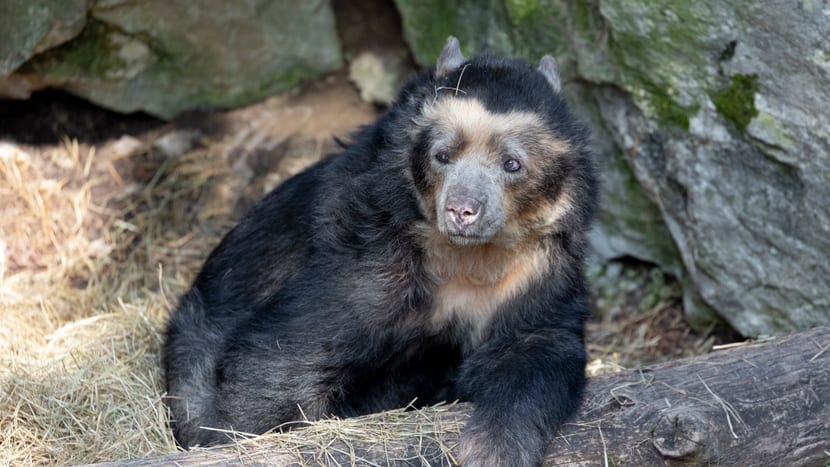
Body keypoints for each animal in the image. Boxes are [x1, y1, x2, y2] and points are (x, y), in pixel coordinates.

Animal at [166, 37, 600, 467]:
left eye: (512, 164)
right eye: (442, 155)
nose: (461, 210)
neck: (466, 256)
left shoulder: (535, 274)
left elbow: (538, 350)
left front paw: (492, 449)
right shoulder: (370, 253)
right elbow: (288, 349)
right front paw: (235, 437)